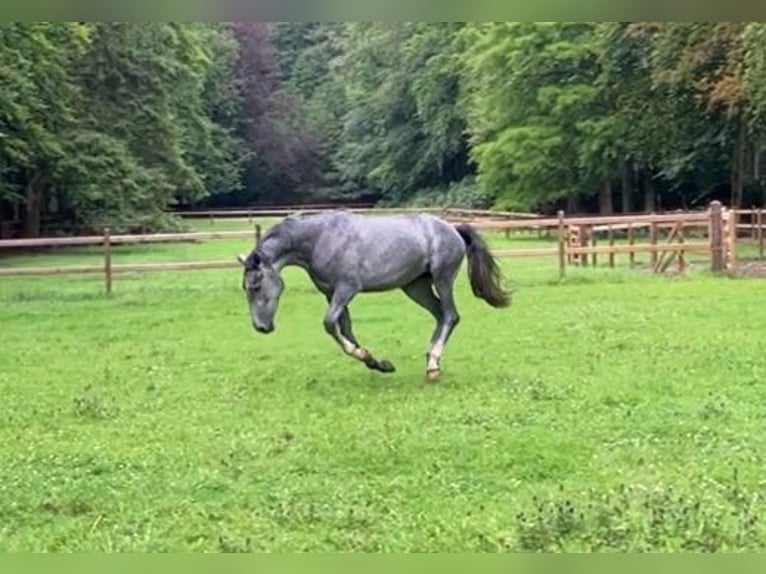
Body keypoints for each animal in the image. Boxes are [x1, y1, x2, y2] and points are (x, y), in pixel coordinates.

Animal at [234, 212, 510, 382]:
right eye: (246, 288)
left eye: (255, 286)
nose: (261, 327)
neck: (321, 238)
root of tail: (452, 228)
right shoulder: (332, 295)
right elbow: (345, 329)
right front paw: (377, 362)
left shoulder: (346, 289)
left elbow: (330, 325)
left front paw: (369, 358)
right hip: (416, 287)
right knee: (441, 316)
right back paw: (431, 360)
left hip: (442, 280)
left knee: (451, 316)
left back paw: (433, 365)